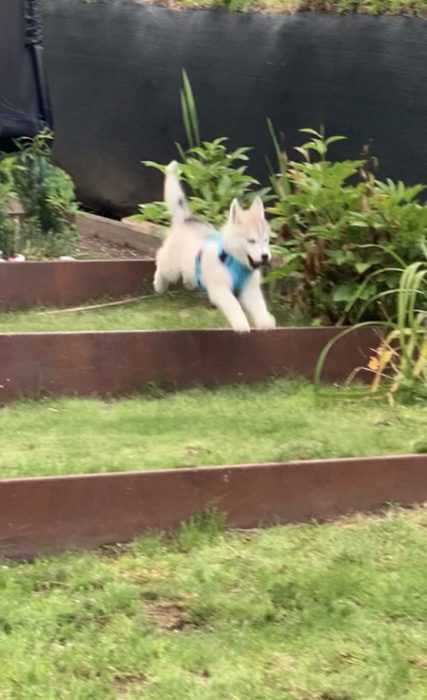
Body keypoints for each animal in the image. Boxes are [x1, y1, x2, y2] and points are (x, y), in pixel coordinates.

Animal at [155, 161, 278, 334]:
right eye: (251, 241)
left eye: (266, 240)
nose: (265, 256)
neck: (235, 260)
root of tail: (187, 219)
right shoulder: (220, 289)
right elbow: (234, 305)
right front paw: (241, 324)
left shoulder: (251, 290)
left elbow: (259, 306)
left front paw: (265, 321)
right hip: (171, 268)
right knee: (161, 259)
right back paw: (159, 284)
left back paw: (189, 283)